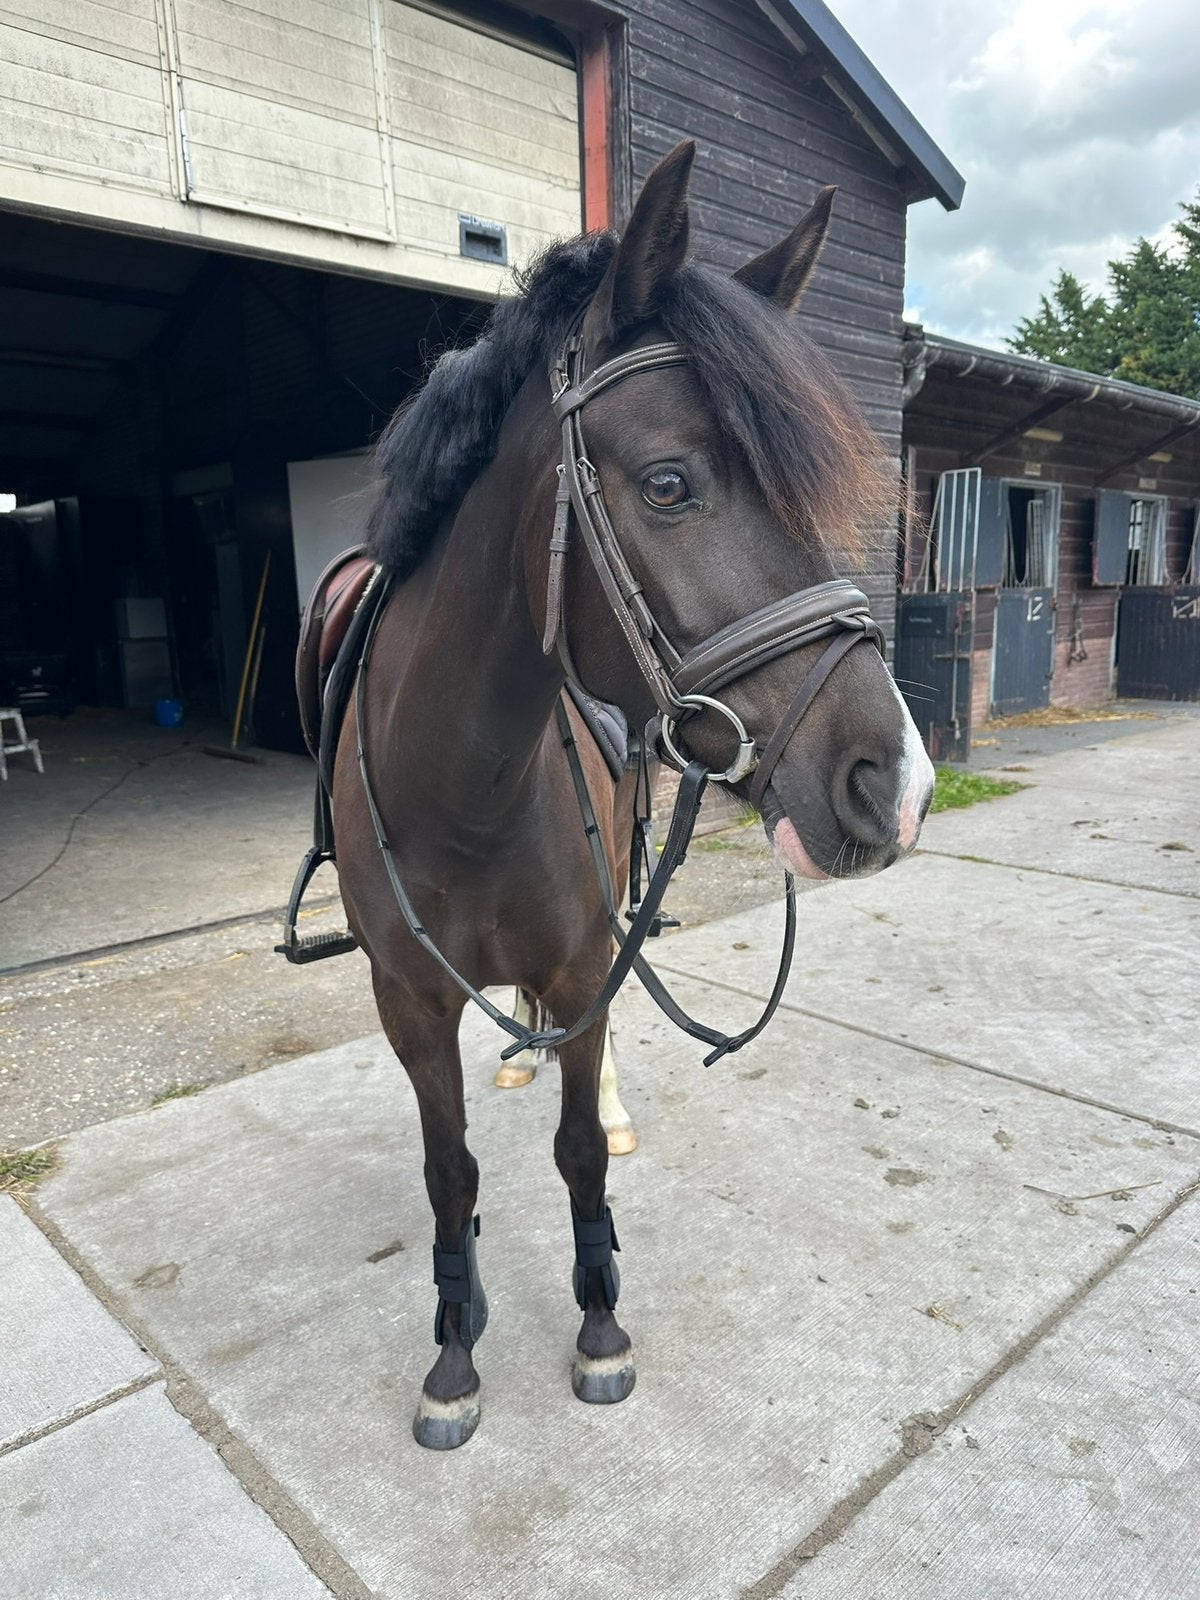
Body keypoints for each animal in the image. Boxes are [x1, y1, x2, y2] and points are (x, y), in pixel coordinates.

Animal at [328, 141, 934, 1450]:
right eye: (667, 483)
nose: (898, 785)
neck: (464, 784)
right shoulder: (407, 1000)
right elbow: (450, 1170)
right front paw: (454, 1348)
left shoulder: (578, 967)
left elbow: (574, 1156)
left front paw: (600, 1322)